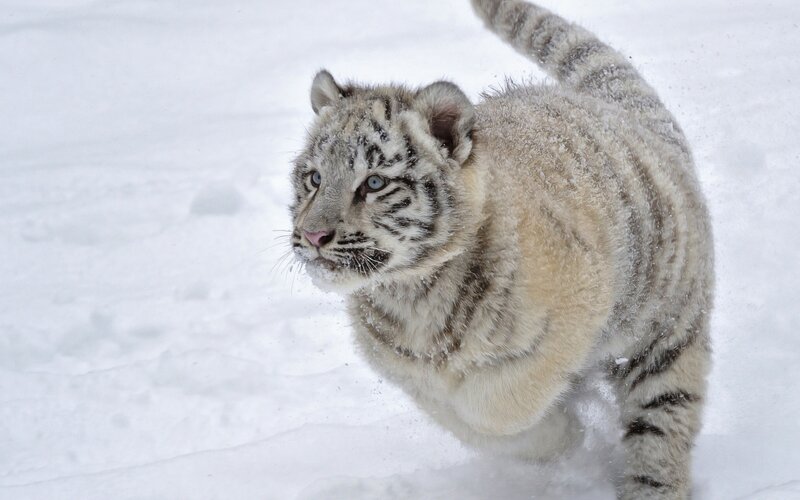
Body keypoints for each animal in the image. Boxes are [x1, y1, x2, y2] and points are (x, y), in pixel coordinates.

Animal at [288, 0, 714, 498]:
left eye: (373, 183)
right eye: (315, 178)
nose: (312, 236)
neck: (413, 294)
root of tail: (619, 111)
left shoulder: (573, 311)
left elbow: (497, 405)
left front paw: (566, 432)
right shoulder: (415, 378)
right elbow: (470, 421)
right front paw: (558, 435)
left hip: (666, 335)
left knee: (660, 428)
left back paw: (650, 485)